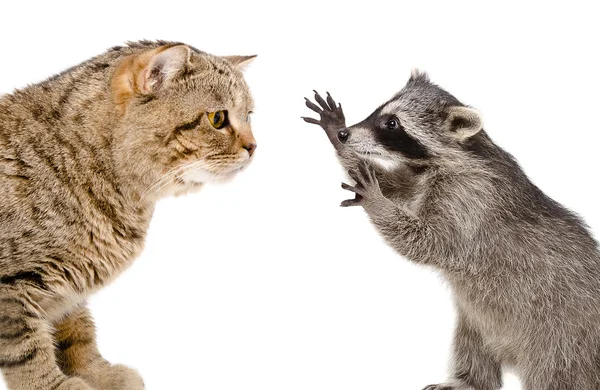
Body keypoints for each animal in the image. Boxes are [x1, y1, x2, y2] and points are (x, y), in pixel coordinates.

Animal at [0, 40, 255, 390]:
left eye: (250, 116)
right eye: (218, 119)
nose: (254, 147)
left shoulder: (68, 284)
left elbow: (77, 332)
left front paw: (95, 372)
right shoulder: (13, 288)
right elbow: (26, 351)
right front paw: (52, 385)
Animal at [302, 71, 600, 390]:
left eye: (392, 123)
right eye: (379, 111)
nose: (346, 135)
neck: (452, 156)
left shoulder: (470, 198)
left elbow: (432, 243)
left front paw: (377, 201)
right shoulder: (420, 178)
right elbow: (394, 184)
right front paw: (337, 135)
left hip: (562, 332)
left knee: (558, 371)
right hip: (479, 321)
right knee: (472, 346)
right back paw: (469, 380)